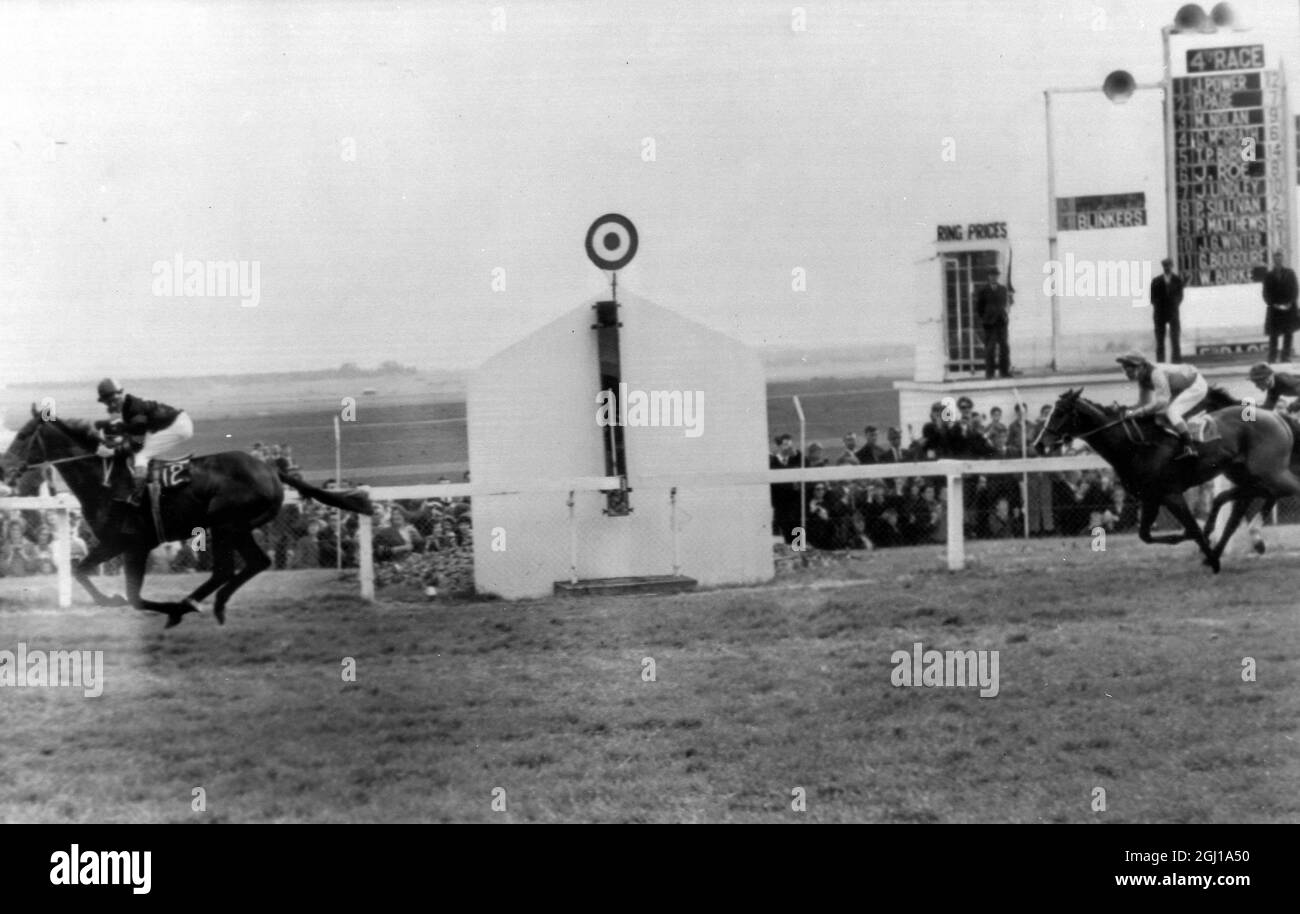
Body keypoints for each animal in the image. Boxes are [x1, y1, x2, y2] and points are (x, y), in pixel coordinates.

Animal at [3, 410, 371, 626]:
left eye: (21, 436)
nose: (4, 468)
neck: (107, 481)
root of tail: (271, 469)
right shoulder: (112, 543)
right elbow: (80, 570)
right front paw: (109, 599)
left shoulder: (133, 544)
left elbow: (133, 597)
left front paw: (132, 602)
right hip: (236, 527)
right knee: (254, 563)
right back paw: (213, 604)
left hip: (225, 524)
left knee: (228, 568)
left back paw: (188, 605)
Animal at [1040, 387, 1300, 572]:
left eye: (1060, 413)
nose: (1039, 443)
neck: (1135, 447)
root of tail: (1277, 416)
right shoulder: (1150, 498)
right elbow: (1145, 535)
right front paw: (1204, 546)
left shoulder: (1171, 494)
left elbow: (1192, 528)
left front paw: (1212, 559)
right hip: (1248, 475)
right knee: (1245, 499)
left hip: (1270, 472)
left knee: (1274, 492)